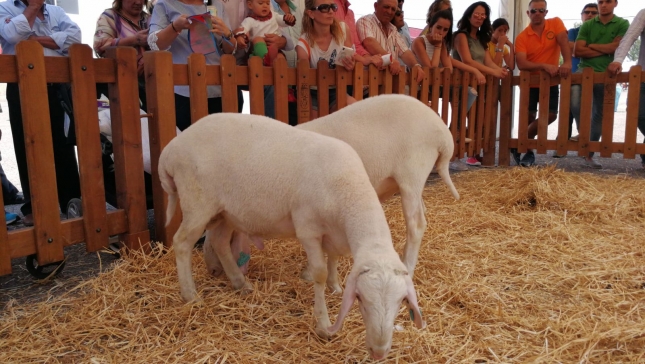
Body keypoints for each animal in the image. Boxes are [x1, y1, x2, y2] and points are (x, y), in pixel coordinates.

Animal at [158, 114, 426, 362]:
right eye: (360, 299)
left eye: (402, 301)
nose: (379, 352)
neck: (349, 190)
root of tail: (170, 149)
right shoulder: (308, 229)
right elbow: (319, 272)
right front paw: (323, 324)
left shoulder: (334, 233)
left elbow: (334, 258)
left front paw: (335, 286)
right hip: (198, 203)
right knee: (182, 242)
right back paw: (191, 295)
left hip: (225, 212)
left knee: (220, 242)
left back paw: (240, 283)